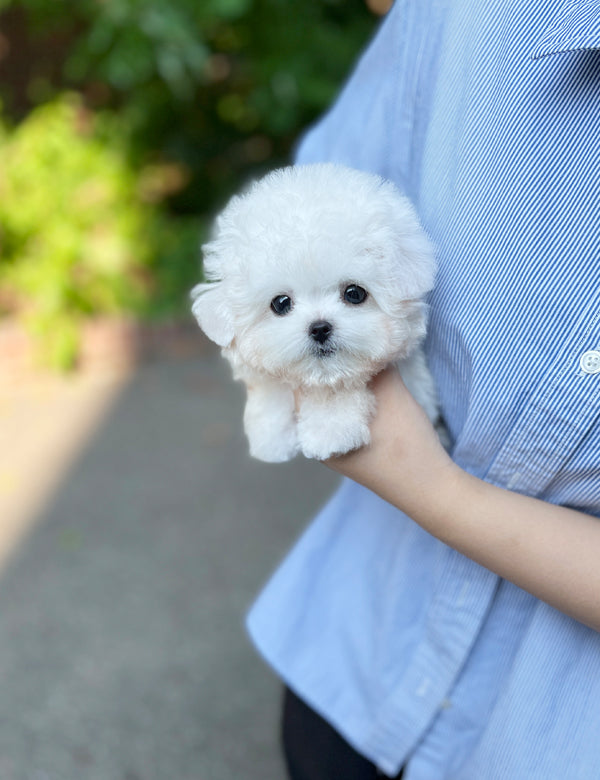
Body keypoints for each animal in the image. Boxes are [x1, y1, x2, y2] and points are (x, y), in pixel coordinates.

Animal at [193, 161, 440, 460]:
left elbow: (340, 388)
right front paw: (270, 439)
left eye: (354, 294)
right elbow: (269, 384)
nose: (320, 328)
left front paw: (330, 432)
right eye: (281, 303)